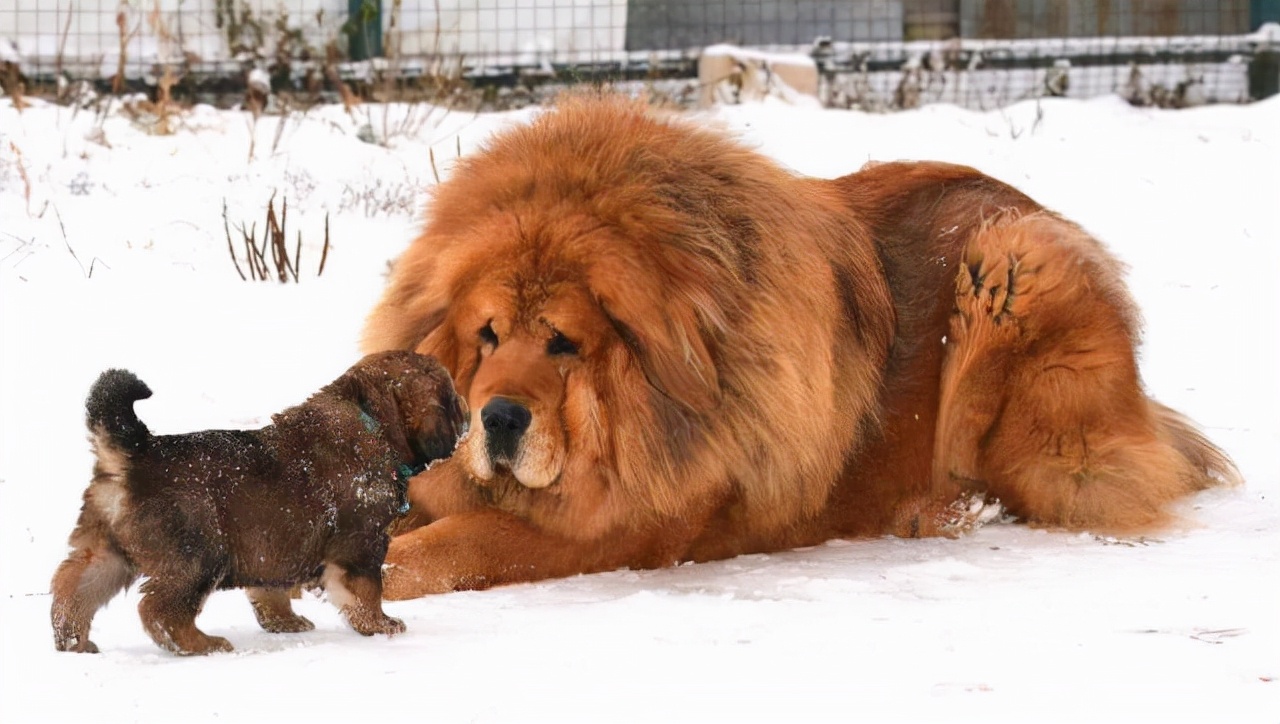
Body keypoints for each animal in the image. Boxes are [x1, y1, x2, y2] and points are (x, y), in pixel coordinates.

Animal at [52, 353, 471, 660]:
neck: (373, 421)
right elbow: (367, 590)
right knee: (160, 609)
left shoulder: (274, 546)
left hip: (106, 551)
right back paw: (201, 645)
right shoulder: (362, 543)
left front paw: (285, 623)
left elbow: (271, 591)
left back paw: (73, 642)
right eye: (451, 399)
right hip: (199, 555)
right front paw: (381, 625)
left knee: (73, 588)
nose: (469, 409)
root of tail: (134, 454)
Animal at [360, 96, 1239, 601]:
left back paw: (939, 507)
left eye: (565, 343)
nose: (499, 419)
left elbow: (458, 542)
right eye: (487, 335)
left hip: (1014, 268)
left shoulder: (624, 527)